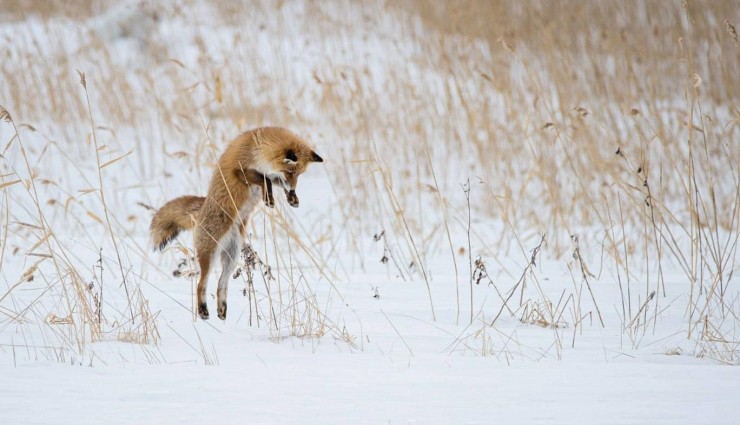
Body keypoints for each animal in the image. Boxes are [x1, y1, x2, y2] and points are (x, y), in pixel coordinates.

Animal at [149, 127, 322, 320]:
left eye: (299, 174)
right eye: (290, 172)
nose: (293, 188)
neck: (258, 147)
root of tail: (201, 210)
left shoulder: (270, 173)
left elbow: (273, 181)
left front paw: (292, 197)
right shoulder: (239, 169)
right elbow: (265, 180)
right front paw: (270, 198)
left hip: (232, 257)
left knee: (221, 284)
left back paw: (222, 311)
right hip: (210, 255)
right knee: (201, 284)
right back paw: (203, 311)